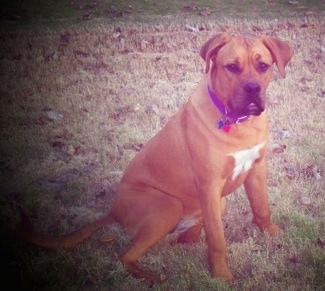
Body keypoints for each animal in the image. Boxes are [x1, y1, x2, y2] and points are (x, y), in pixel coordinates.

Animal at [21, 32, 292, 286]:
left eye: (263, 66)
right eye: (232, 67)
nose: (253, 89)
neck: (237, 122)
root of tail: (114, 211)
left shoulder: (256, 168)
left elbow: (261, 207)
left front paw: (272, 233)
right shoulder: (210, 184)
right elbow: (217, 239)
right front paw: (222, 276)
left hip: (216, 203)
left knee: (185, 234)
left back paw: (186, 241)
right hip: (166, 207)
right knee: (125, 256)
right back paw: (150, 277)